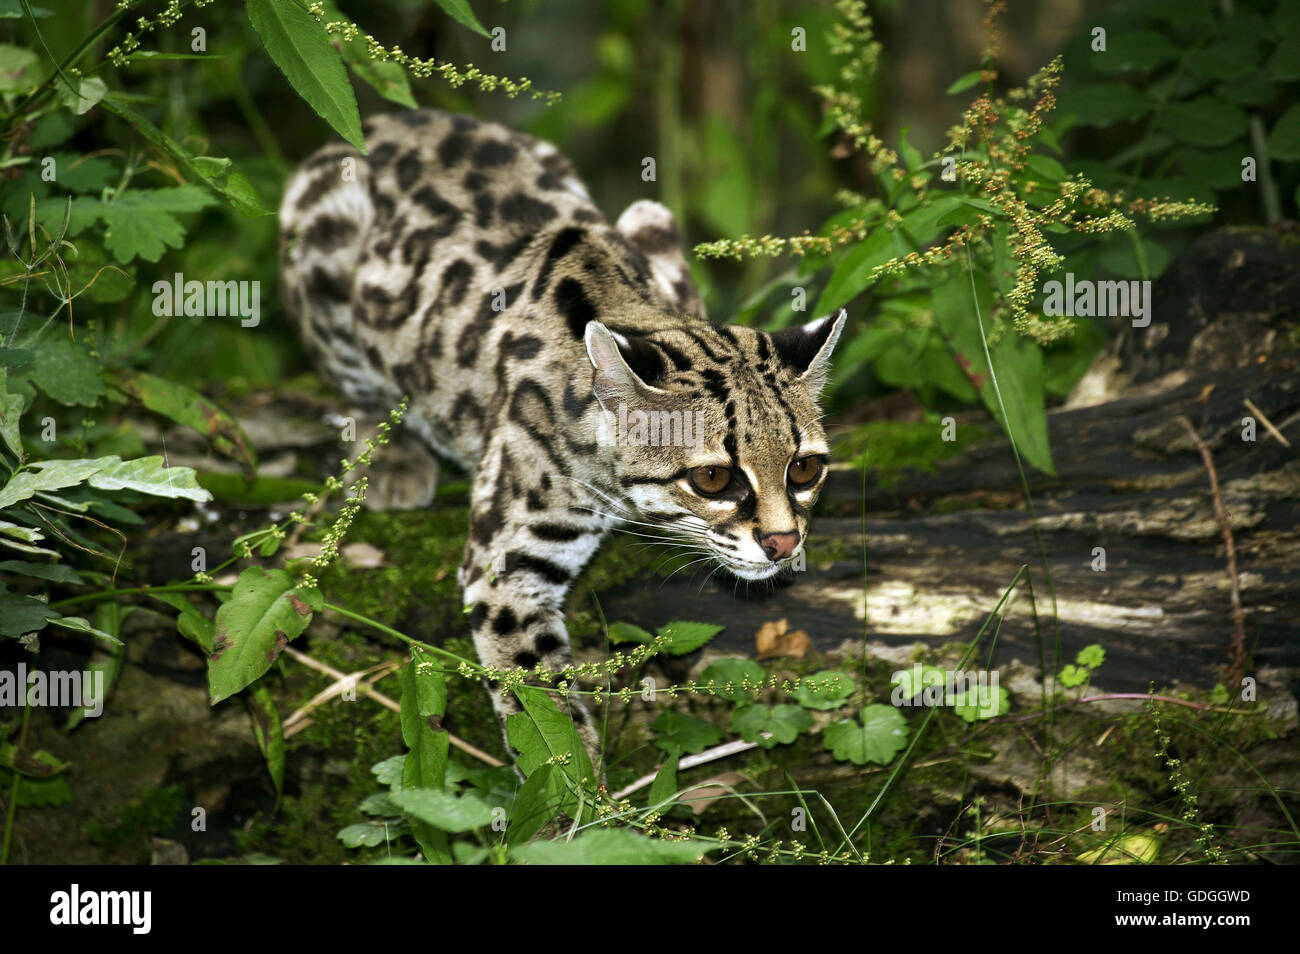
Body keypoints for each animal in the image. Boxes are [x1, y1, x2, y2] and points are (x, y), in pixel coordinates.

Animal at [278, 110, 842, 769]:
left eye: (804, 470)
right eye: (712, 478)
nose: (782, 543)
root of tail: (383, 120)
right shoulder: (503, 566)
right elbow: (543, 707)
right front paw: (586, 791)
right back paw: (390, 451)